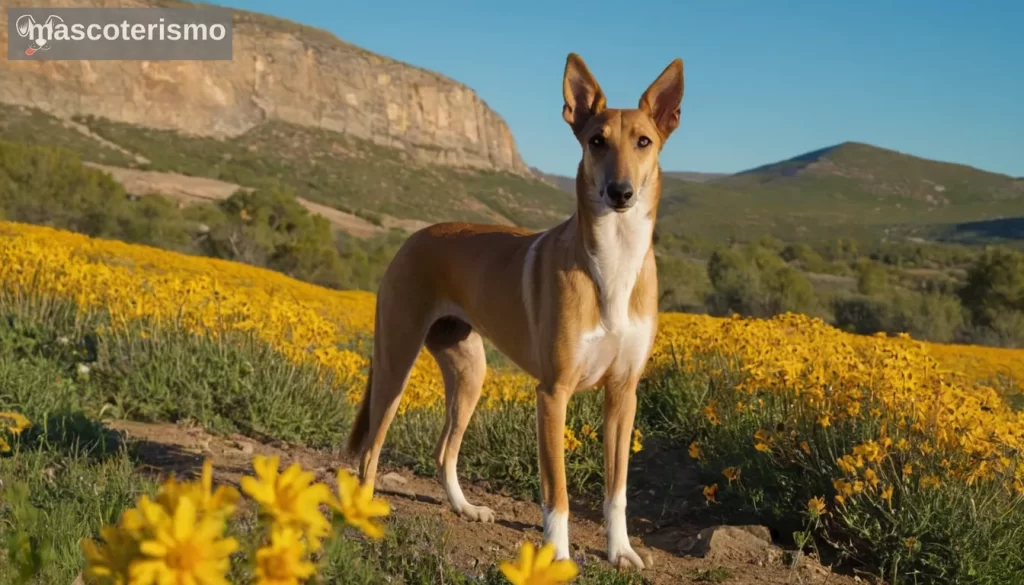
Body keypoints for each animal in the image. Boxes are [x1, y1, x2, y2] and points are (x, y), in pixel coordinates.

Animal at [348, 52, 684, 569]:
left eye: (644, 142)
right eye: (597, 141)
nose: (620, 192)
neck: (612, 260)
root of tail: (417, 235)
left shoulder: (623, 394)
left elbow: (617, 489)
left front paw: (621, 550)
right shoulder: (553, 394)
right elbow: (557, 493)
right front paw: (557, 558)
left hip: (471, 373)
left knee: (444, 452)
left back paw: (465, 508)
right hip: (395, 366)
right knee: (370, 450)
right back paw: (363, 514)